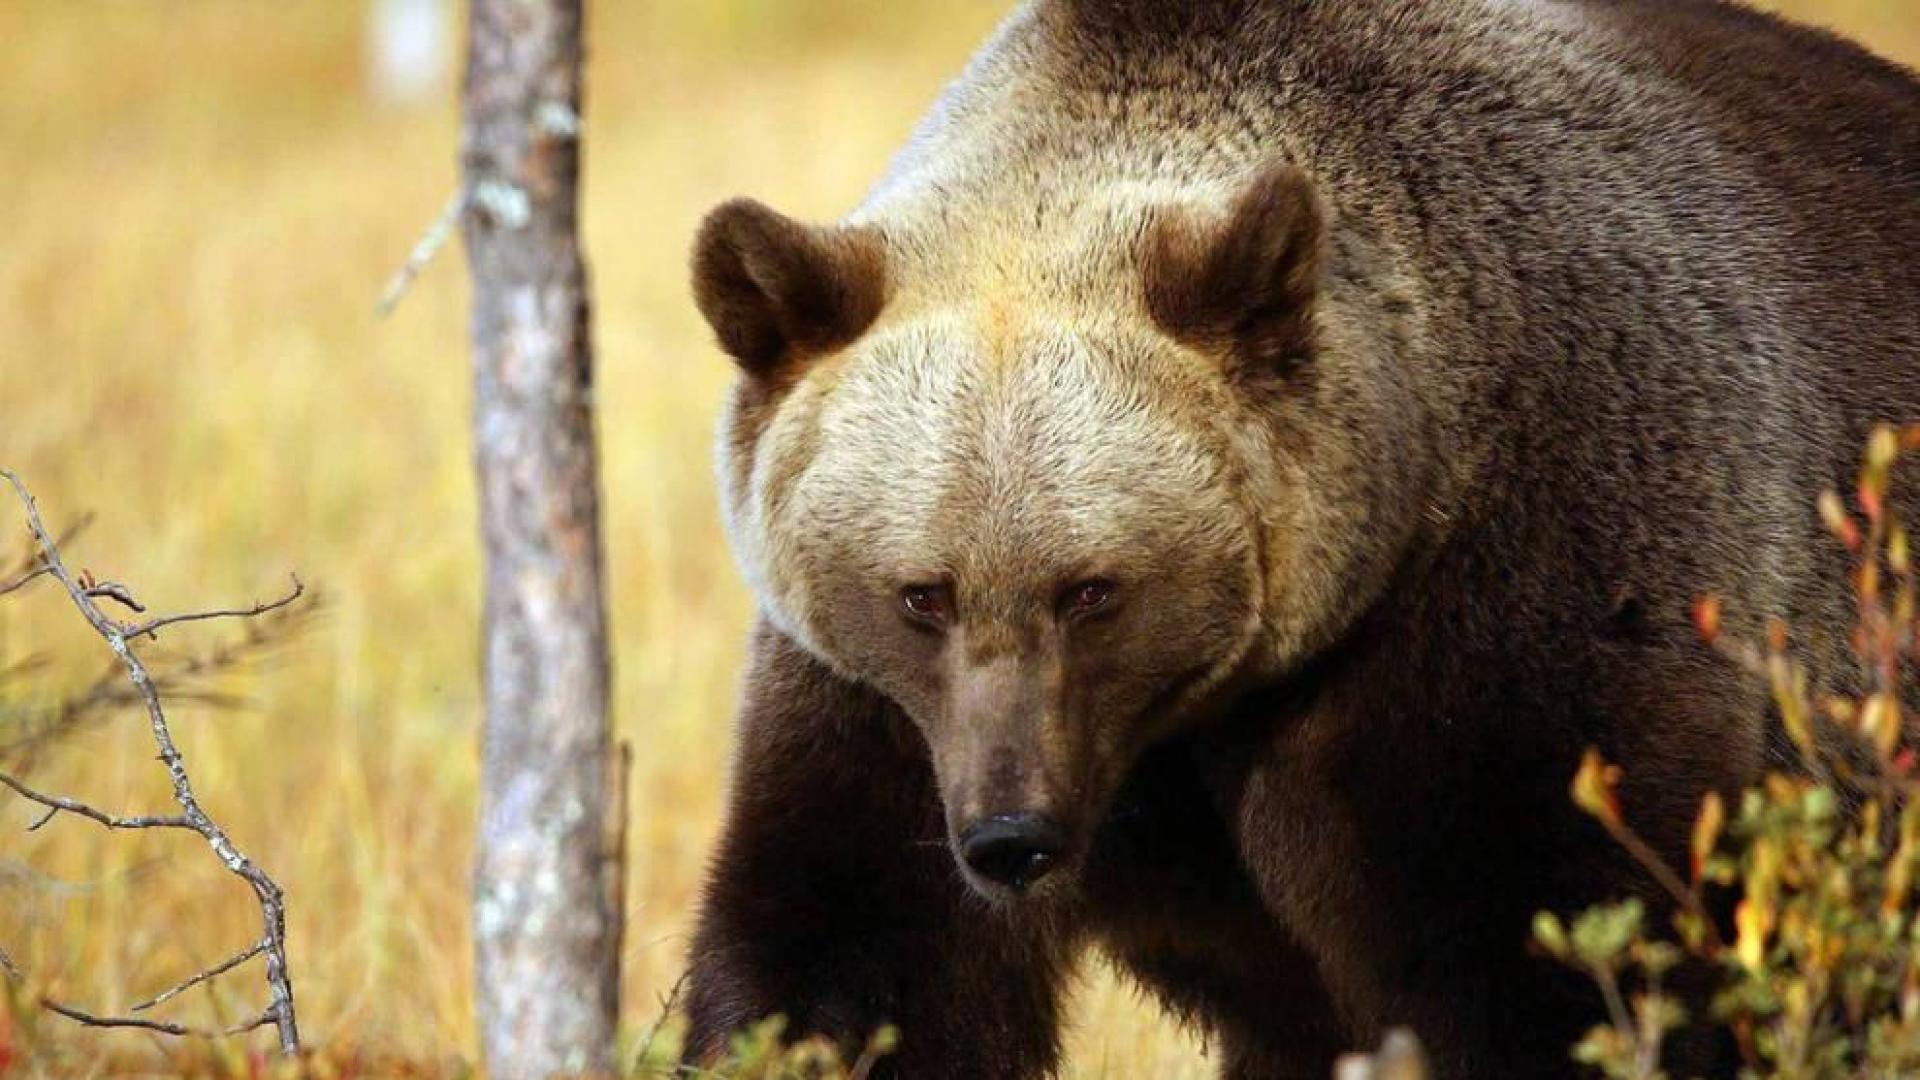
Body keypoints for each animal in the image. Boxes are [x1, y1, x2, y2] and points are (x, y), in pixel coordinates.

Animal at [680, 1, 1920, 1076]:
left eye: (1093, 589)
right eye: (921, 593)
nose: (1011, 835)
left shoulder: (1523, 589)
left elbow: (1554, 952)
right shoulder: (881, 716)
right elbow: (851, 954)